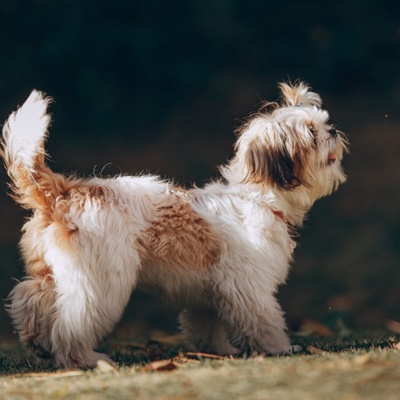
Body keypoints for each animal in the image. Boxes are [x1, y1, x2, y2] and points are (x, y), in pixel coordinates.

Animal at [0, 82, 348, 368]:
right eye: (311, 133)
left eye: (322, 123)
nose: (332, 130)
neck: (257, 197)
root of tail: (64, 191)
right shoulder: (249, 287)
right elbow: (264, 321)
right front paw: (279, 348)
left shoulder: (208, 294)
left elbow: (206, 326)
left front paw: (219, 350)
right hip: (99, 283)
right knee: (71, 323)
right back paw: (83, 358)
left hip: (52, 272)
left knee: (30, 299)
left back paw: (38, 343)